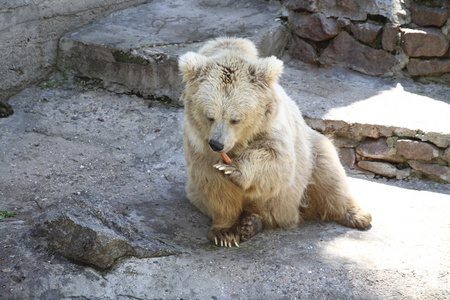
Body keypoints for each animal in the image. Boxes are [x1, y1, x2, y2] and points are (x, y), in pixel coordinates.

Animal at [178, 36, 370, 247]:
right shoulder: (198, 143)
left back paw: (358, 215)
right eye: (209, 116)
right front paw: (225, 233)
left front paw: (232, 168)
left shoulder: (270, 127)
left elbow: (275, 158)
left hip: (310, 157)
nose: (217, 144)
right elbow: (212, 182)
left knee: (330, 174)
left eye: (235, 119)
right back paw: (250, 224)